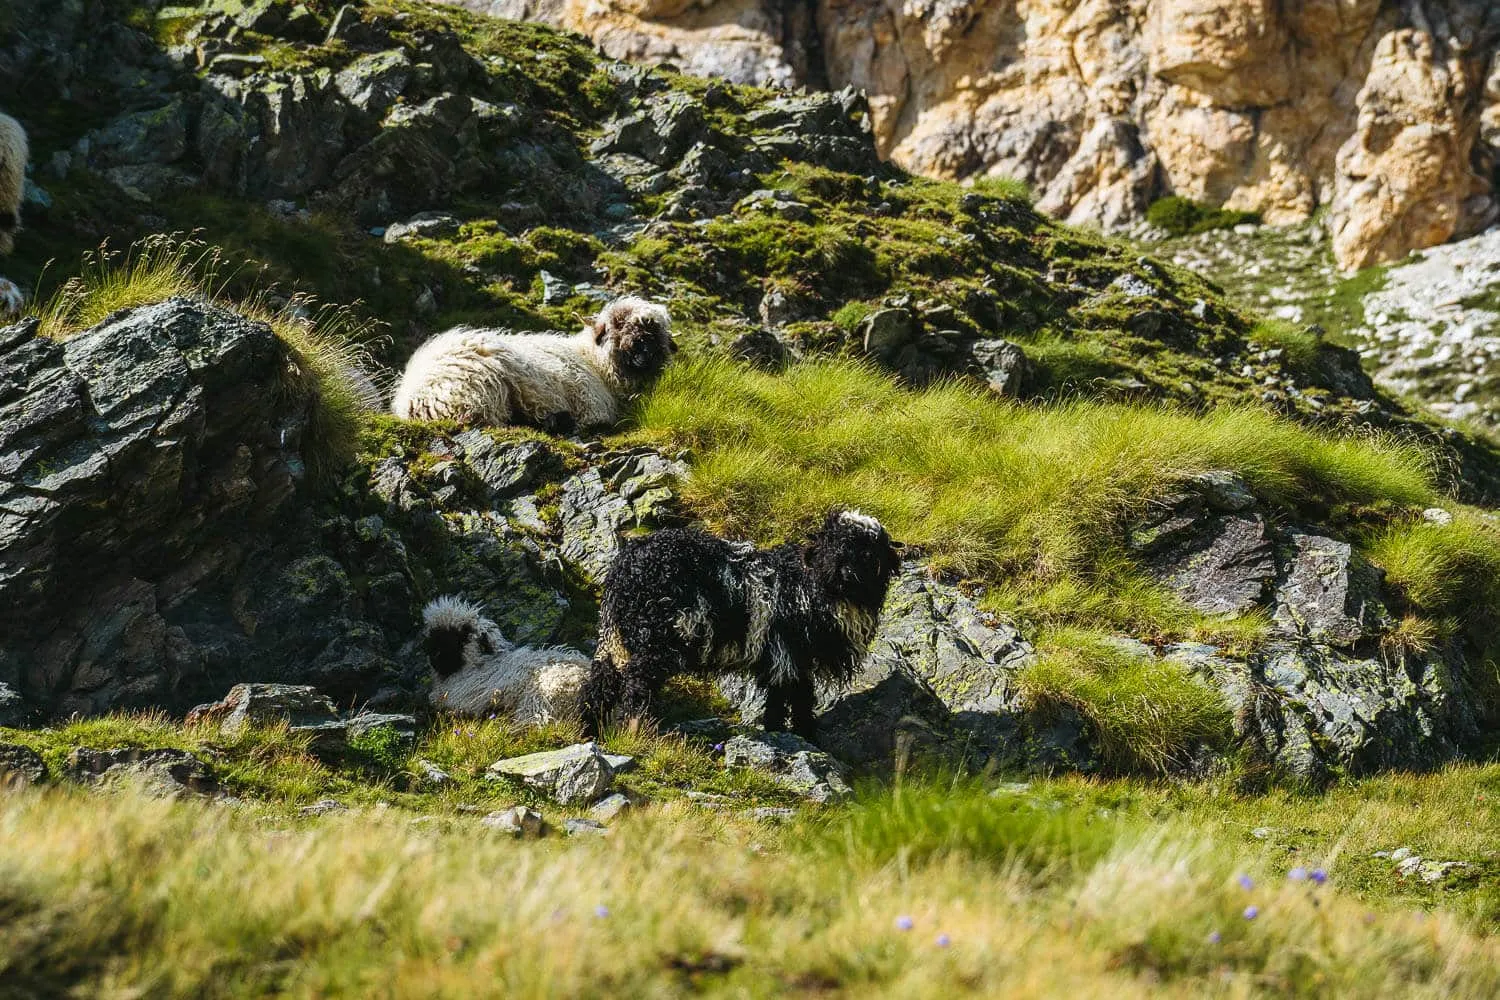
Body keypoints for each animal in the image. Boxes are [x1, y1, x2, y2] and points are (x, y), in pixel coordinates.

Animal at [390, 295, 674, 433]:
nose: (643, 352)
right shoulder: (592, 407)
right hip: (482, 391)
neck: (594, 362)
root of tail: (412, 402)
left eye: (656, 332)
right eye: (617, 326)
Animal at [579, 510, 903, 740]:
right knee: (637, 682)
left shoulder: (780, 657)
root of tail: (625, 566)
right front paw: (805, 735)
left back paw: (589, 731)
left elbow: (779, 697)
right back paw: (637, 730)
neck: (812, 584)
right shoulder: (792, 652)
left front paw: (778, 731)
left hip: (617, 637)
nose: (845, 572)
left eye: (868, 552)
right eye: (830, 545)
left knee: (601, 682)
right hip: (656, 634)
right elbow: (799, 696)